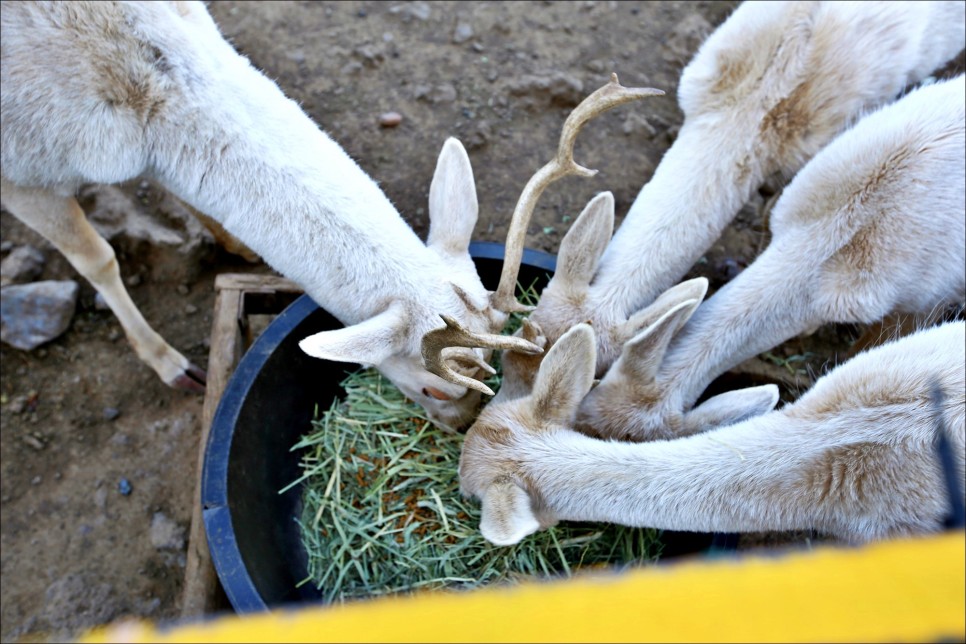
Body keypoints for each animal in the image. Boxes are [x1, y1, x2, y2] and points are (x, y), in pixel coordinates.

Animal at [0, 3, 656, 432]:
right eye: (433, 385)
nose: (461, 429)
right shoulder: (21, 169)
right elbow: (98, 258)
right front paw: (173, 366)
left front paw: (233, 243)